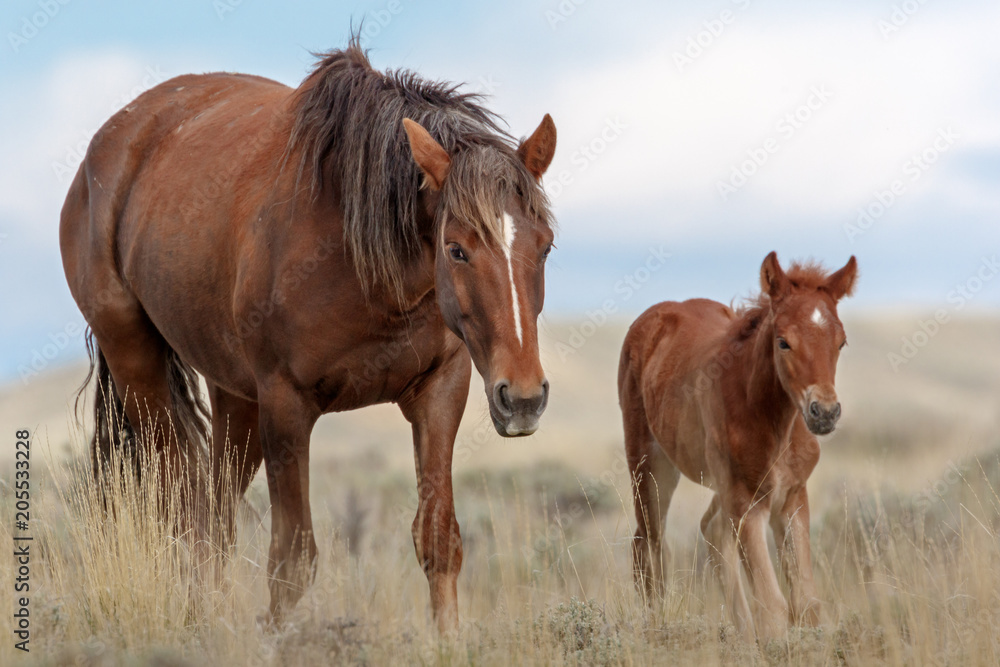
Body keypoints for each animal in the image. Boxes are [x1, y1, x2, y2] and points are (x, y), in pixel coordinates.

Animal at [59, 39, 560, 636]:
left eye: (546, 245)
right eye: (456, 249)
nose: (523, 398)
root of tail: (111, 142)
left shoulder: (442, 392)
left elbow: (439, 542)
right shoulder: (287, 405)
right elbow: (292, 564)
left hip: (236, 396)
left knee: (213, 519)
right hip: (139, 365)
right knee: (183, 508)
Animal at [616, 250, 860, 640]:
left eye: (840, 342)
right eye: (783, 341)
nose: (824, 412)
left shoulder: (791, 497)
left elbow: (806, 603)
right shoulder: (748, 502)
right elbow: (773, 607)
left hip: (720, 484)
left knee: (710, 529)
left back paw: (743, 636)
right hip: (650, 466)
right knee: (648, 544)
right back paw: (657, 626)